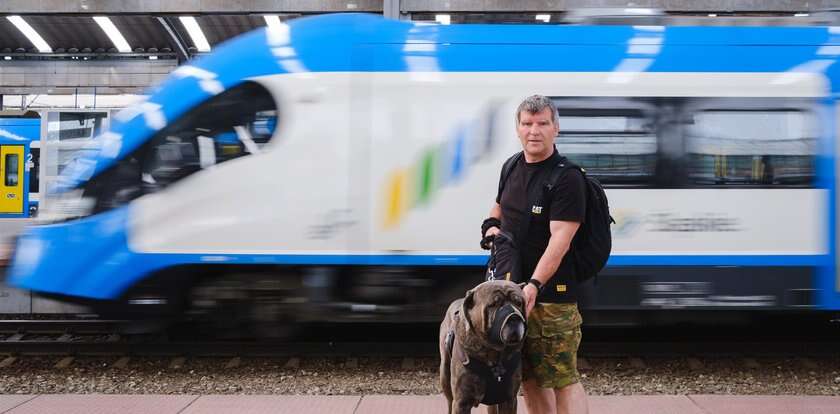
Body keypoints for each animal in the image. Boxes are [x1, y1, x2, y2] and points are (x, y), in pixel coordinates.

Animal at [440, 280, 524, 412]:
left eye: (519, 303)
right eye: (494, 304)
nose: (515, 317)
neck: (493, 353)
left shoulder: (509, 399)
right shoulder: (461, 402)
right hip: (444, 374)